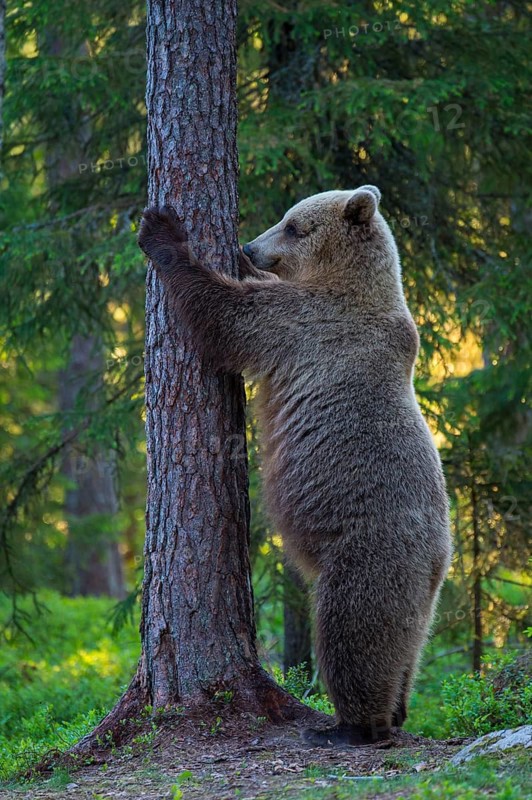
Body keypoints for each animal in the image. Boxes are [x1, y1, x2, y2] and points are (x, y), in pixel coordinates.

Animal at [138, 186, 453, 747]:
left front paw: (162, 232)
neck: (347, 281)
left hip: (368, 553)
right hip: (421, 593)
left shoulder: (305, 323)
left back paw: (350, 725)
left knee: (351, 632)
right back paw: (397, 709)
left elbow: (226, 317)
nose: (247, 246)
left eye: (292, 225)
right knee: (406, 646)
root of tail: (440, 560)